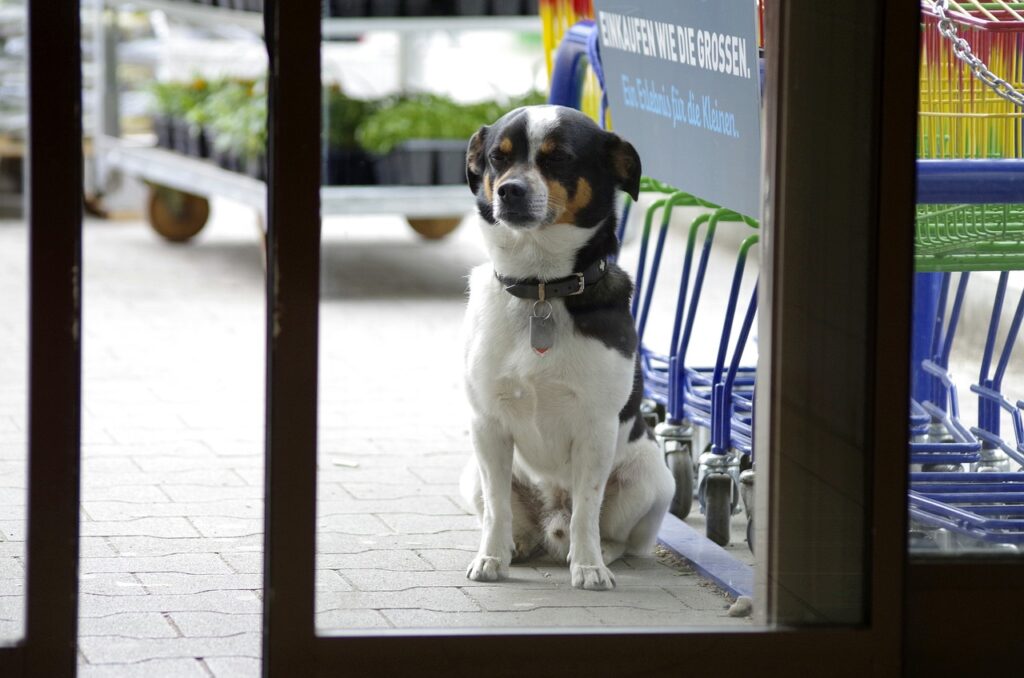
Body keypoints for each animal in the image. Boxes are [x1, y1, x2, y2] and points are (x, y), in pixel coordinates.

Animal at [460, 104, 675, 589]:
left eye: (558, 158)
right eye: (499, 158)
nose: (510, 191)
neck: (541, 287)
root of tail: (550, 519)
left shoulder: (596, 429)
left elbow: (587, 510)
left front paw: (589, 566)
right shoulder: (487, 425)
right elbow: (497, 509)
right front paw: (490, 558)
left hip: (652, 476)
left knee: (609, 531)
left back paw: (601, 553)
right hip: (472, 474)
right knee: (508, 515)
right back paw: (515, 546)